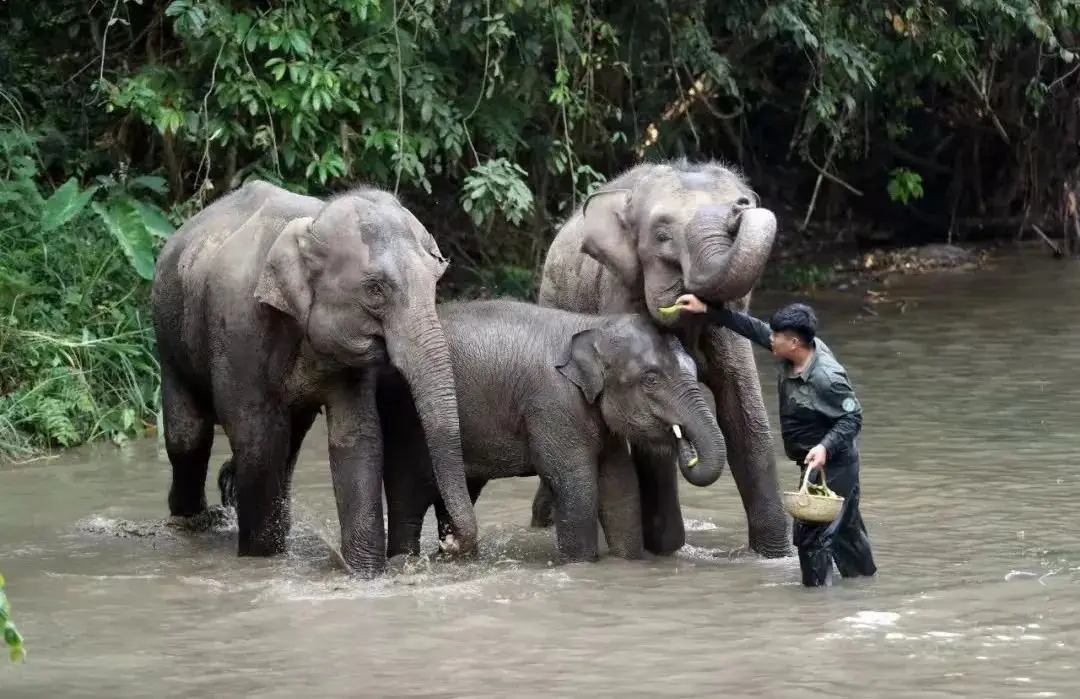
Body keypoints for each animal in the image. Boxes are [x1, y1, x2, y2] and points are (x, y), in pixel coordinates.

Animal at [151, 178, 477, 579]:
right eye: (375, 289)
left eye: (435, 282)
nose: (451, 543)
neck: (312, 223)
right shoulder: (238, 327)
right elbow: (257, 438)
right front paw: (262, 559)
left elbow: (357, 437)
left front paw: (363, 573)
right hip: (168, 335)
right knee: (189, 436)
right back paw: (193, 522)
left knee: (289, 444)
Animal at [375, 300, 730, 561]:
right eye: (652, 379)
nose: (687, 452)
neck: (592, 326)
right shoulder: (553, 403)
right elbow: (576, 484)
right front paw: (582, 564)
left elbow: (620, 485)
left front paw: (629, 561)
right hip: (403, 420)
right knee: (409, 497)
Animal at [533, 157, 794, 557]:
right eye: (661, 235)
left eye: (743, 202)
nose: (740, 208)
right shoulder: (619, 291)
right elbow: (649, 437)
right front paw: (665, 547)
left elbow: (745, 417)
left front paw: (775, 555)